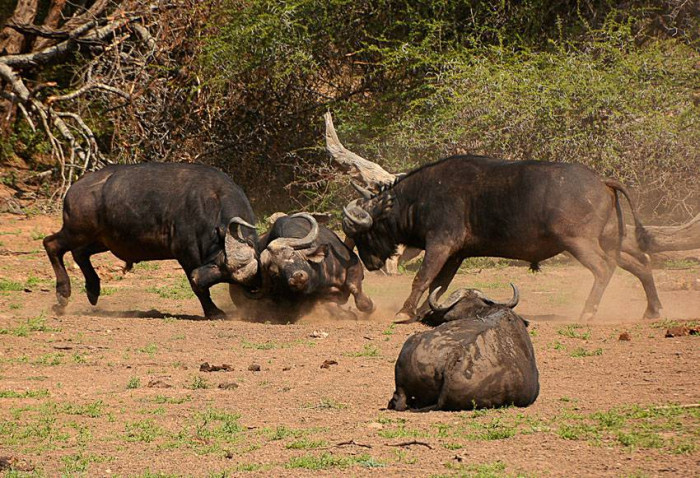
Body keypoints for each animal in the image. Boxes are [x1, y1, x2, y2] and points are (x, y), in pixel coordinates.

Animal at [45, 162, 262, 320]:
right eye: (218, 263)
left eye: (226, 276)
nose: (196, 276)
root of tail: (74, 188)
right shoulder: (186, 255)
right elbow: (199, 290)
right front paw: (214, 312)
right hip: (76, 231)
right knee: (51, 244)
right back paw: (62, 295)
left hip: (101, 240)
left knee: (79, 253)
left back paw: (92, 290)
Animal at [231, 213, 378, 322]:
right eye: (274, 273)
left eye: (292, 254)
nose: (296, 278)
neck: (323, 278)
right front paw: (348, 313)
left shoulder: (354, 264)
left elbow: (354, 288)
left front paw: (370, 306)